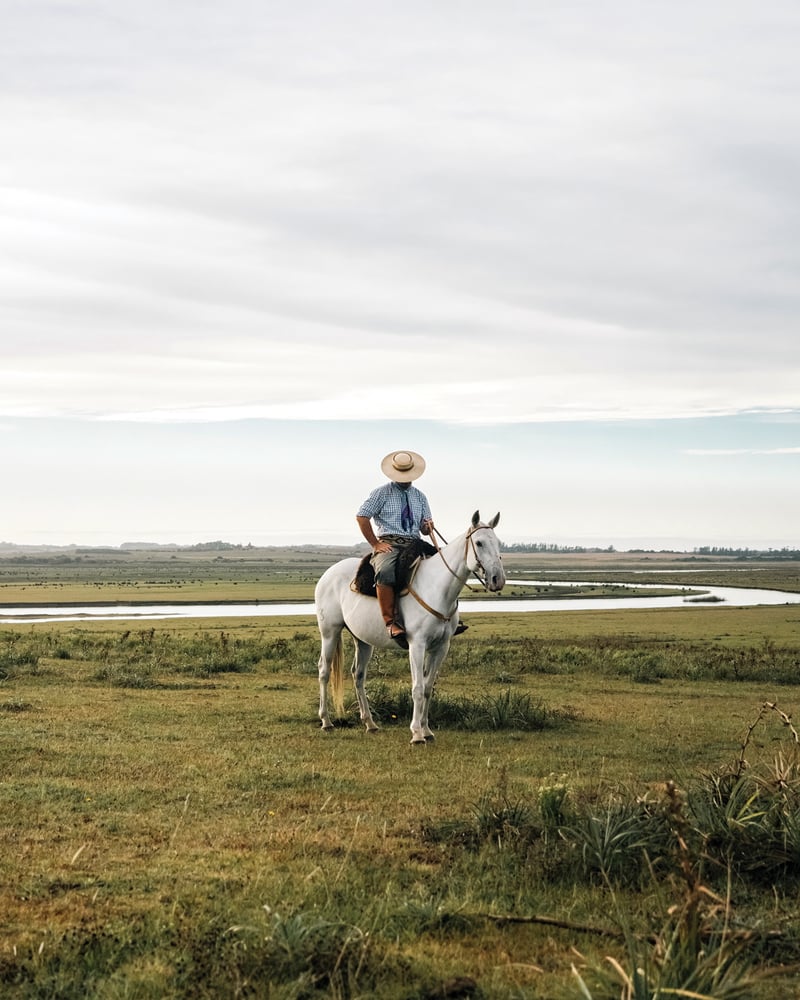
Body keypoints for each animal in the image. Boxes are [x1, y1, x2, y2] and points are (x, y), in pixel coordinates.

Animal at [316, 516, 504, 744]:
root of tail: (328, 573)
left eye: (497, 543)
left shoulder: (441, 647)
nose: (497, 579)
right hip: (330, 632)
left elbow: (428, 688)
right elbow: (417, 688)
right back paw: (326, 721)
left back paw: (370, 723)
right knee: (324, 671)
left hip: (362, 640)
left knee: (358, 675)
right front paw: (416, 733)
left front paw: (427, 730)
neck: (437, 588)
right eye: (479, 543)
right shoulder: (417, 645)